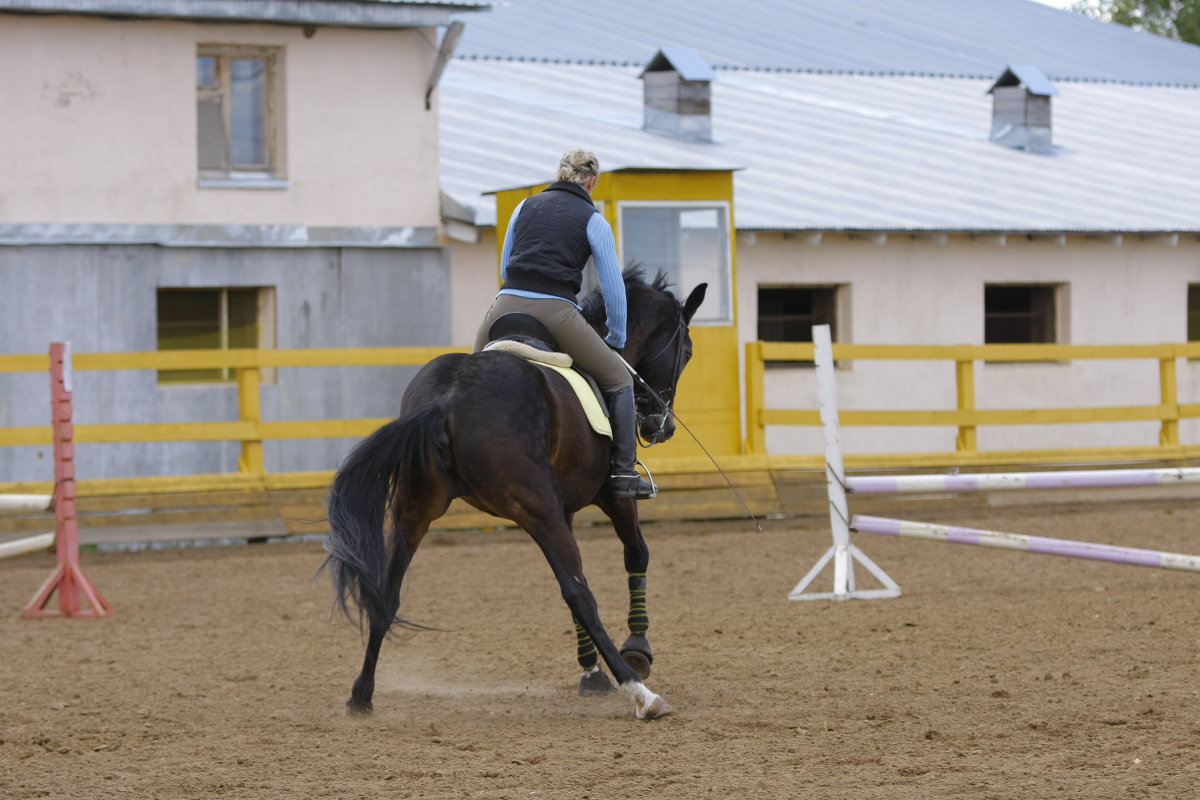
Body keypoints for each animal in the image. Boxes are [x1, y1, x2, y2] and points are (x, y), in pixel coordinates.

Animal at [324, 267, 705, 719]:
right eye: (687, 352)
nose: (661, 427)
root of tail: (446, 400)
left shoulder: (565, 508)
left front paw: (590, 673)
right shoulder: (613, 498)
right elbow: (637, 554)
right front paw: (638, 650)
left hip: (414, 512)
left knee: (386, 594)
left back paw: (361, 694)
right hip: (536, 510)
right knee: (579, 593)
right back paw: (641, 693)